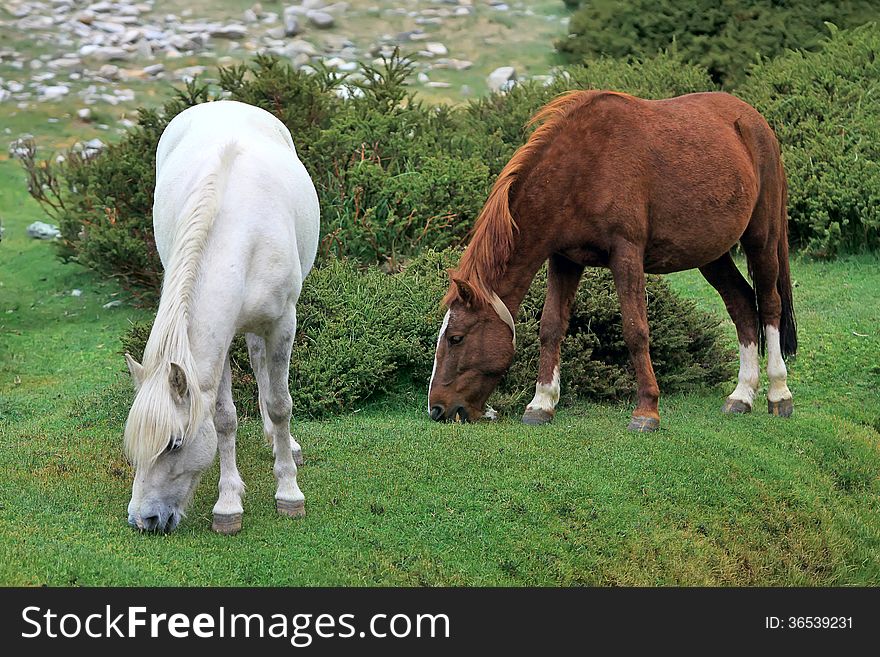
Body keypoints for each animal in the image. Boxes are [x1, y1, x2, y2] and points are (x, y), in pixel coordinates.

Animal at [122, 101, 318, 532]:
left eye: (174, 444)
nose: (144, 520)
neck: (242, 236)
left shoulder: (283, 323)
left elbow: (281, 404)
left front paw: (289, 493)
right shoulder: (220, 341)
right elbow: (224, 418)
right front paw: (228, 504)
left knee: (263, 369)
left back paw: (283, 445)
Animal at [428, 91, 796, 430]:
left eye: (456, 338)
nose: (437, 409)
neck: (583, 169)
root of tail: (754, 121)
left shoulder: (626, 254)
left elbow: (635, 330)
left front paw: (647, 410)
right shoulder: (564, 259)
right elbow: (551, 327)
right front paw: (541, 403)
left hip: (761, 239)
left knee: (770, 305)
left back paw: (779, 393)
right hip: (712, 254)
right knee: (743, 305)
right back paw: (741, 396)